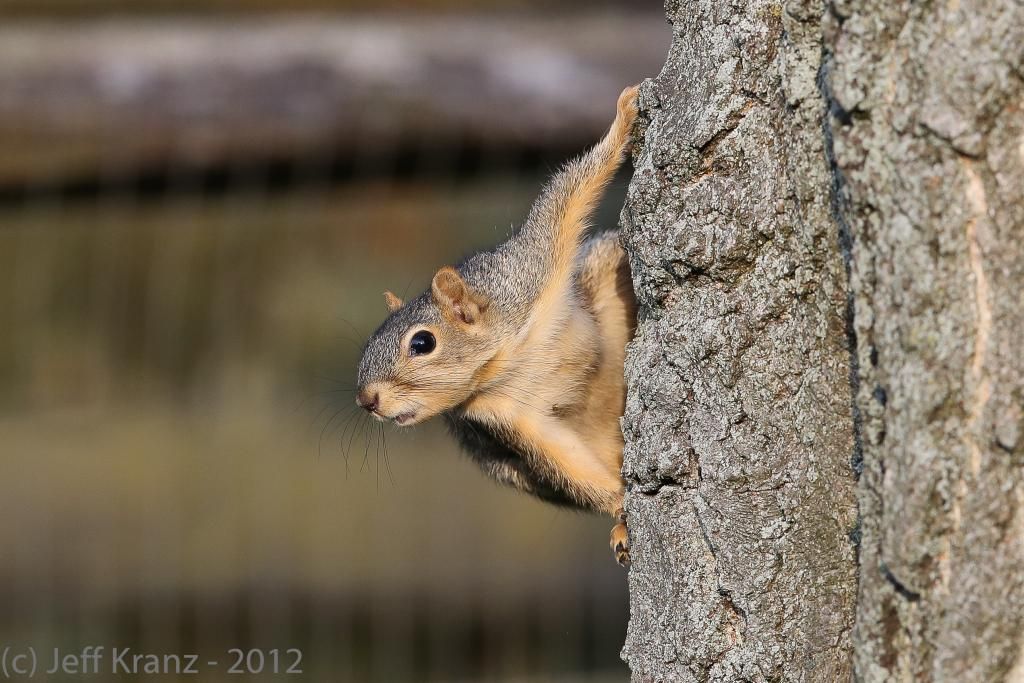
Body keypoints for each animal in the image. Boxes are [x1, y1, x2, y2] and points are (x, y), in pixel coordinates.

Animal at [355, 86, 639, 566]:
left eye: (422, 343)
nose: (366, 400)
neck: (507, 358)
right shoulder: (508, 416)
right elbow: (561, 460)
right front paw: (622, 505)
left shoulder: (532, 268)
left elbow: (569, 191)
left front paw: (625, 116)